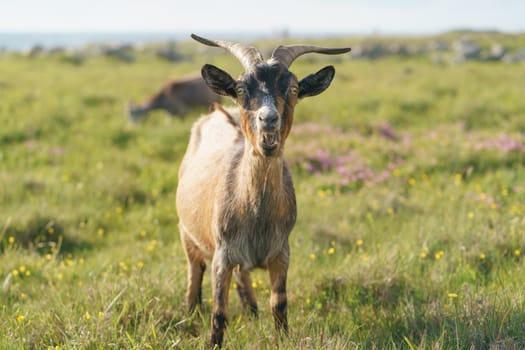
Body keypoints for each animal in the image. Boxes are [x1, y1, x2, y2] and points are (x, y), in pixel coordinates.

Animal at [176, 33, 352, 348]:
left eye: (293, 88)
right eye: (241, 88)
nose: (268, 119)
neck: (255, 215)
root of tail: (217, 112)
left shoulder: (281, 253)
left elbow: (279, 304)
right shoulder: (222, 255)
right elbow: (219, 311)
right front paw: (213, 341)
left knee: (243, 280)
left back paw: (252, 311)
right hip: (186, 232)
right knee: (194, 274)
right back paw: (190, 314)